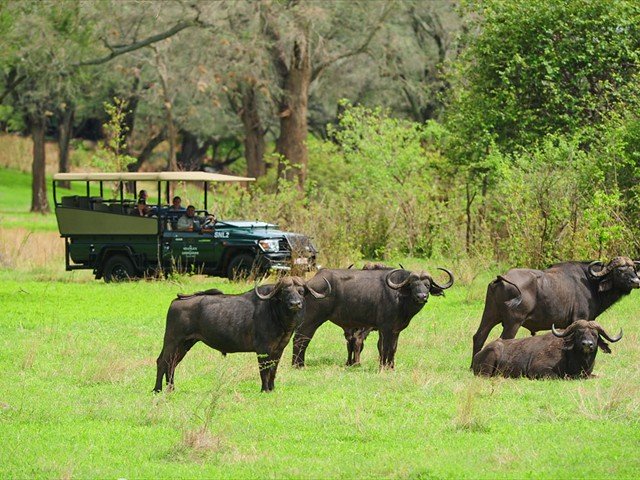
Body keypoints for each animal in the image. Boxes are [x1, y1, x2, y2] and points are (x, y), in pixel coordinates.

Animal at [152, 276, 328, 392]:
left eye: (301, 291)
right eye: (285, 291)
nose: (295, 304)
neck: (277, 315)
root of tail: (177, 301)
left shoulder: (278, 350)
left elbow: (273, 370)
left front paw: (272, 388)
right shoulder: (263, 350)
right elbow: (264, 370)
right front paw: (264, 389)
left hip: (185, 344)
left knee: (172, 364)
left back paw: (171, 389)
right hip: (172, 340)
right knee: (162, 362)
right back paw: (157, 389)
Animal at [292, 266, 452, 368]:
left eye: (427, 285)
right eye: (413, 285)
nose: (421, 296)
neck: (400, 297)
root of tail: (307, 286)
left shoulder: (395, 330)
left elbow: (393, 348)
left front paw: (391, 366)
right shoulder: (384, 328)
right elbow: (383, 347)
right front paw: (383, 366)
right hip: (311, 320)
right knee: (301, 339)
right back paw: (298, 365)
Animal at [470, 258, 640, 364]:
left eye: (633, 269)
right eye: (619, 271)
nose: (636, 281)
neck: (591, 283)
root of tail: (501, 278)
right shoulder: (579, 319)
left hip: (489, 316)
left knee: (478, 337)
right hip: (513, 323)